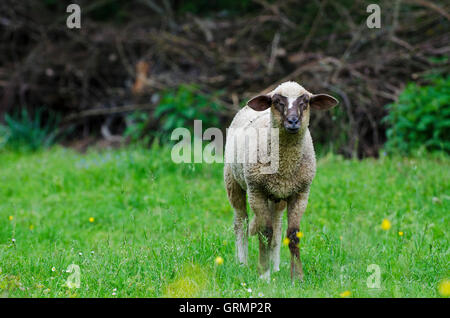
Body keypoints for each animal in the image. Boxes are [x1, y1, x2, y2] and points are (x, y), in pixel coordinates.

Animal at [224, 80, 338, 280]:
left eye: (305, 102)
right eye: (277, 101)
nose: (293, 121)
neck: (285, 166)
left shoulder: (301, 193)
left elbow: (292, 234)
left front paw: (297, 277)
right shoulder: (257, 191)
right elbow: (264, 232)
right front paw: (264, 275)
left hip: (278, 197)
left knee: (277, 227)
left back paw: (276, 267)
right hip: (233, 181)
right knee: (241, 223)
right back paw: (242, 263)